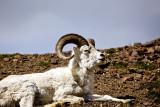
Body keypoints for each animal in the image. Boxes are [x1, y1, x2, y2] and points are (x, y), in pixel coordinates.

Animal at [0, 33, 132, 106]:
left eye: (95, 48)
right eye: (86, 50)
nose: (102, 55)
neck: (78, 79)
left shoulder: (88, 95)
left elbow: (107, 96)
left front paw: (127, 101)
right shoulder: (63, 94)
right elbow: (80, 100)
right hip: (29, 89)